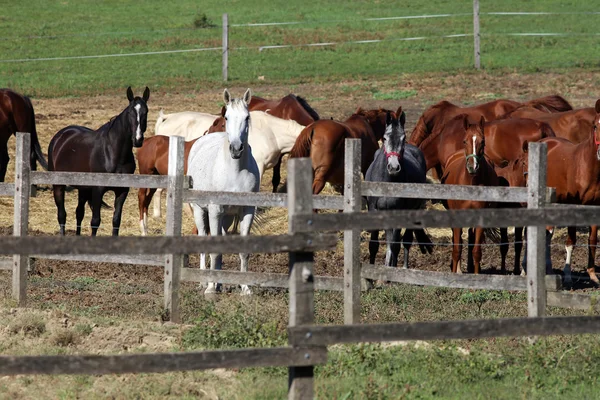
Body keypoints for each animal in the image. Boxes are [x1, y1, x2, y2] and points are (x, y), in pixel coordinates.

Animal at [186, 89, 258, 296]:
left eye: (247, 117)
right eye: (227, 117)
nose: (236, 148)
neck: (234, 171)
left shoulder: (247, 210)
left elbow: (242, 251)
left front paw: (245, 288)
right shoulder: (215, 210)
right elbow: (214, 249)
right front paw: (210, 288)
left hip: (226, 216)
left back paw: (219, 282)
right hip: (200, 211)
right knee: (203, 238)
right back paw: (205, 282)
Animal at [364, 108, 434, 268]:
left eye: (403, 138)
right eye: (384, 138)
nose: (394, 167)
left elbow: (395, 245)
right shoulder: (374, 210)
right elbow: (374, 245)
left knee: (405, 241)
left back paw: (403, 267)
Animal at [440, 116, 506, 276]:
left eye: (483, 141)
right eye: (465, 141)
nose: (472, 167)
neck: (471, 183)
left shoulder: (480, 217)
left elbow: (477, 251)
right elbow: (457, 249)